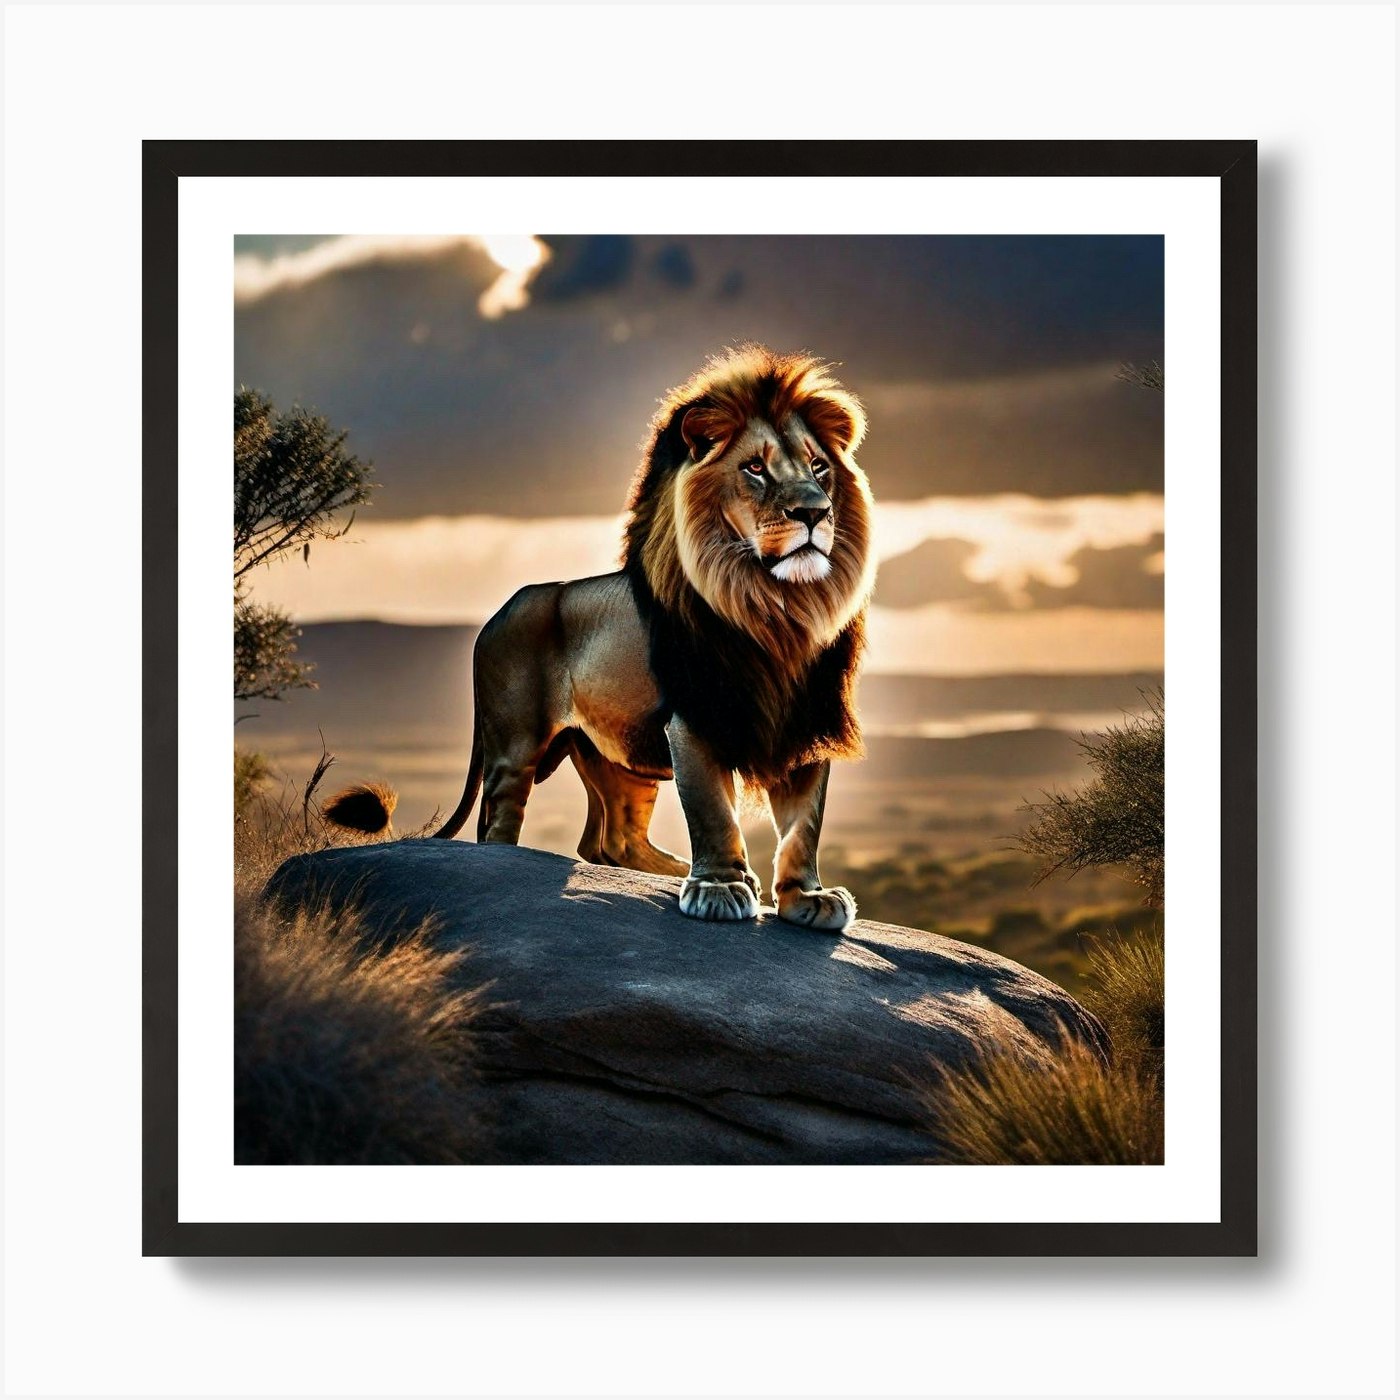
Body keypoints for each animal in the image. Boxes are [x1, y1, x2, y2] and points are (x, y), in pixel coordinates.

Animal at [335, 346, 876, 929]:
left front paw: (806, 898)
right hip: (515, 744)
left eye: (819, 467)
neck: (776, 610)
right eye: (754, 468)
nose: (814, 512)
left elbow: (805, 821)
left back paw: (673, 871)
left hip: (618, 756)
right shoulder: (694, 716)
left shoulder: (809, 718)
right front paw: (720, 887)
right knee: (497, 823)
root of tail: (496, 614)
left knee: (608, 841)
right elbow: (712, 808)